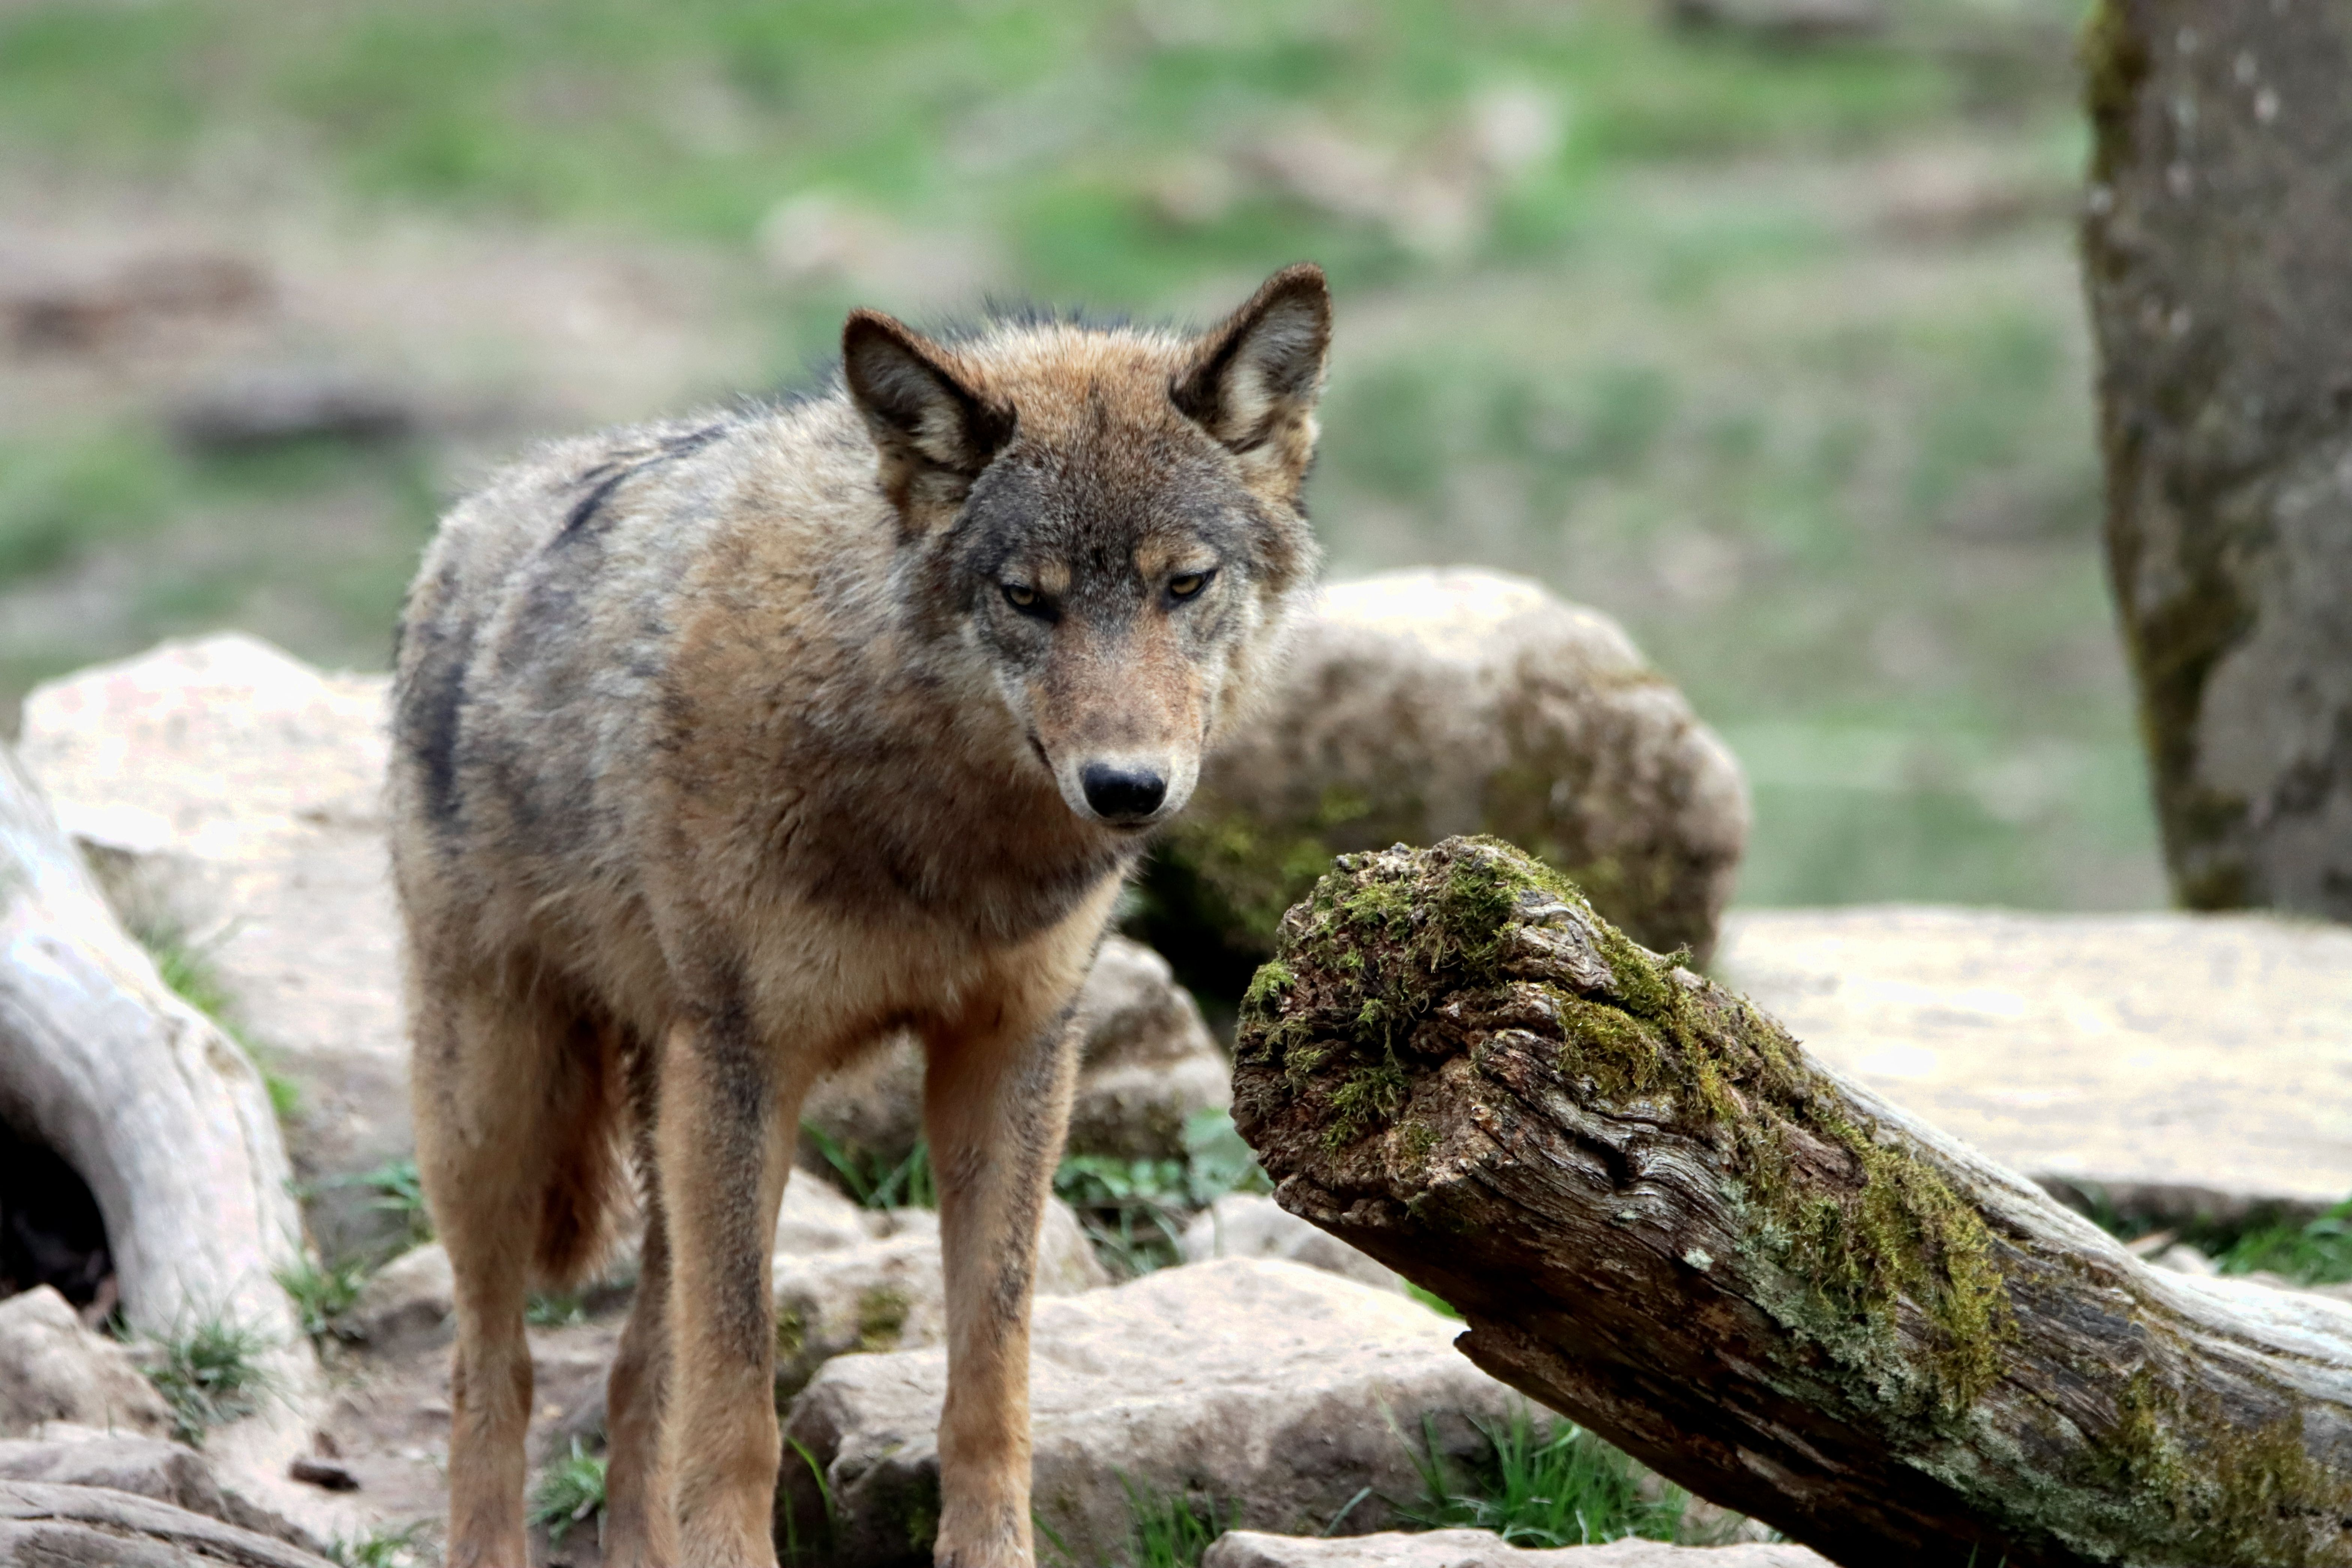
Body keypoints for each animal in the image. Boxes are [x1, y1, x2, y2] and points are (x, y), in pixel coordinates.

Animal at [387, 262, 1330, 1567]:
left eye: (1180, 583)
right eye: (1025, 599)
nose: (1126, 787)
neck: (937, 829)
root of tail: (465, 526)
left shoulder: (1012, 1048)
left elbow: (990, 1371)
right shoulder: (748, 1063)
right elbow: (737, 1403)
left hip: (665, 1114)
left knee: (638, 1374)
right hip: (502, 1113)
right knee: (494, 1373)